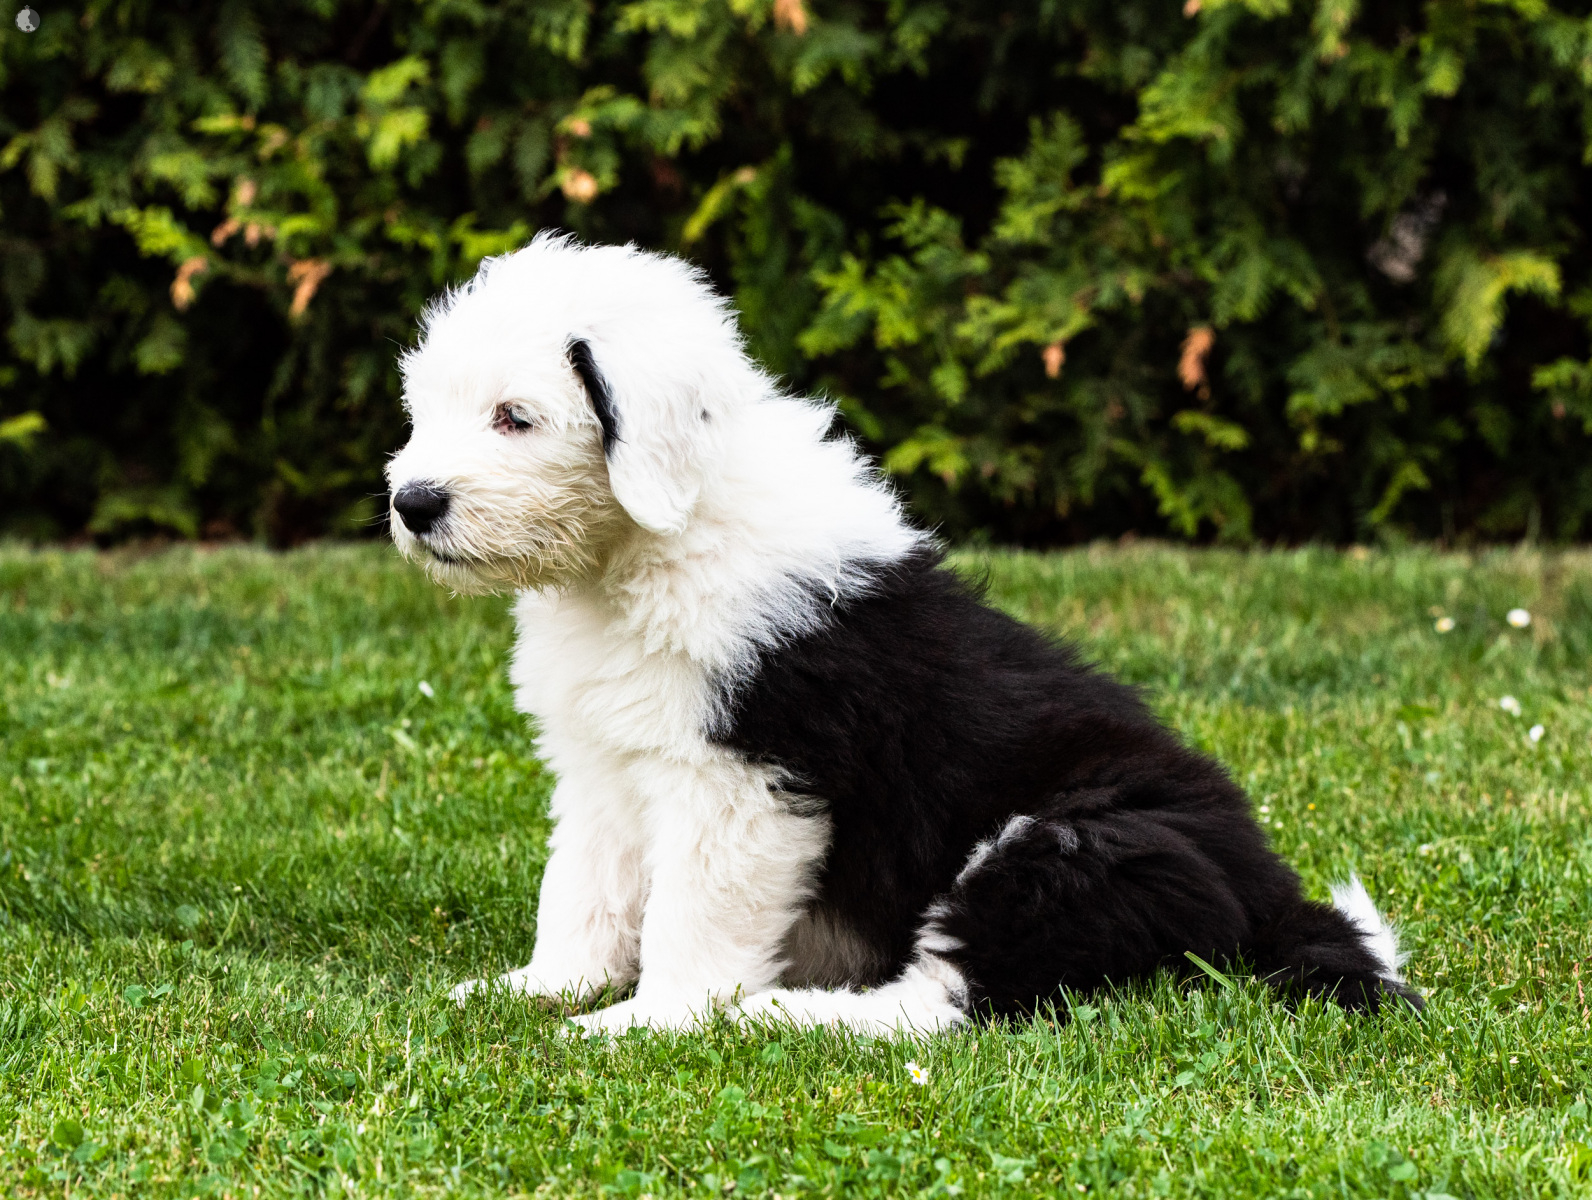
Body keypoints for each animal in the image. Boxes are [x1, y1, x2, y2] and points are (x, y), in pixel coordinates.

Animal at [386, 233, 1419, 1035]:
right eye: (424, 412)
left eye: (516, 417)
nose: (412, 504)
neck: (646, 548)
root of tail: (1267, 887)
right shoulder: (604, 761)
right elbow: (584, 886)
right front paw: (540, 990)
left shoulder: (745, 775)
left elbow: (695, 914)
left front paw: (647, 1021)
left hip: (1066, 844)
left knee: (951, 1002)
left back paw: (777, 1012)